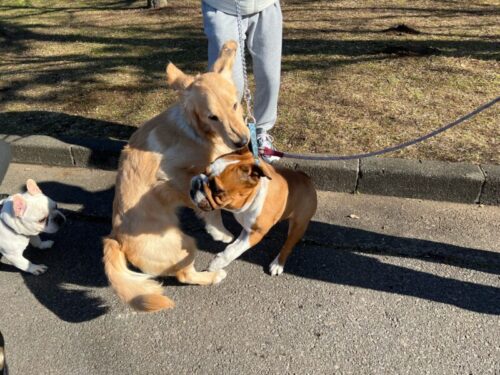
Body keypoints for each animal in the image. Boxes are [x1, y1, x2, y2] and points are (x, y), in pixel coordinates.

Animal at [102, 39, 250, 312]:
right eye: (213, 116)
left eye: (235, 104)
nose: (242, 141)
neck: (198, 133)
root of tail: (116, 239)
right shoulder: (170, 175)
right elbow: (208, 205)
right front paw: (219, 231)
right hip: (184, 245)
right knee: (184, 275)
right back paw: (213, 276)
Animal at [189, 149, 318, 276]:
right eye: (204, 171)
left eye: (217, 190)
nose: (197, 183)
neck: (252, 197)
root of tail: (306, 177)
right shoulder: (247, 230)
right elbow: (233, 247)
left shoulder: (256, 233)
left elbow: (235, 250)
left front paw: (217, 263)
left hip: (299, 225)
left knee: (288, 245)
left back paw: (278, 264)